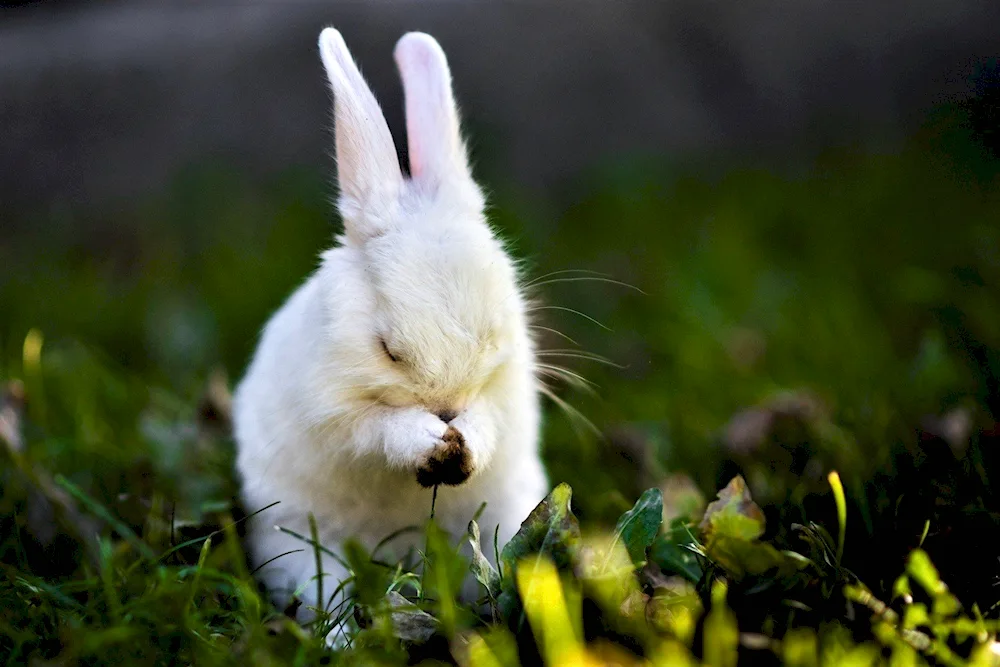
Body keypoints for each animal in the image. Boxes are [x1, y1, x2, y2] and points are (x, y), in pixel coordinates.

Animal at [231, 24, 552, 620]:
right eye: (389, 350)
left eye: (491, 336)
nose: (447, 406)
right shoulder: (334, 416)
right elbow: (376, 429)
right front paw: (431, 439)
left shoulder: (506, 392)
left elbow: (489, 420)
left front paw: (464, 440)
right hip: (301, 546)